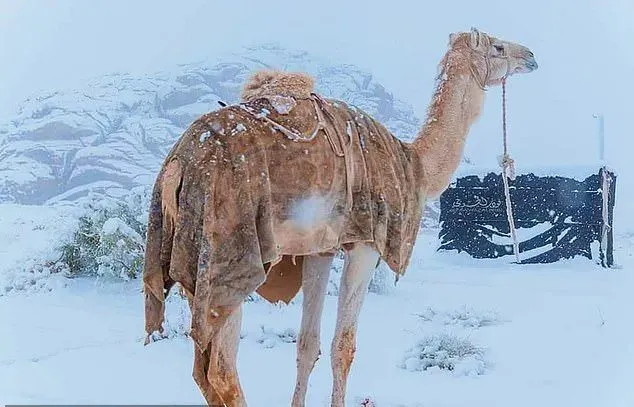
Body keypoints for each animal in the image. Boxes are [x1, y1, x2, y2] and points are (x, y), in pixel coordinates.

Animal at [142, 28, 532, 407]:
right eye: (497, 46)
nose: (529, 56)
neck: (413, 165)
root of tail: (177, 166)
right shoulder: (367, 242)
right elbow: (343, 346)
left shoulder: (321, 248)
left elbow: (307, 345)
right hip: (226, 255)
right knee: (221, 372)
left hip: (191, 259)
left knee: (204, 371)